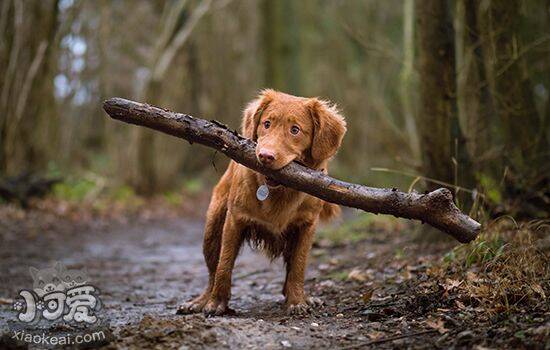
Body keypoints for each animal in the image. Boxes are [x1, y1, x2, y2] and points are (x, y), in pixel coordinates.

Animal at [179, 89, 348, 316]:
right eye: (266, 124)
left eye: (295, 130)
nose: (265, 156)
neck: (279, 191)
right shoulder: (234, 220)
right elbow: (224, 265)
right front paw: (216, 303)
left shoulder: (307, 226)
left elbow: (298, 266)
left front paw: (297, 301)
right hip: (212, 228)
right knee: (212, 271)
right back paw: (200, 301)